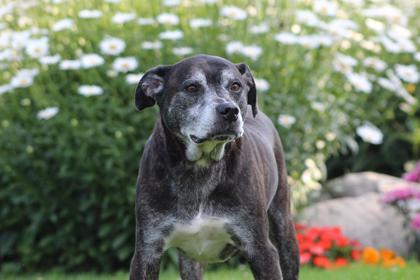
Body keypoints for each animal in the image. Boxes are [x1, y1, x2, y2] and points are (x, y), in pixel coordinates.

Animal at [128, 54, 298, 280]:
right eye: (192, 87)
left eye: (235, 85)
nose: (230, 110)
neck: (200, 168)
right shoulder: (147, 251)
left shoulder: (261, 250)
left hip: (284, 227)